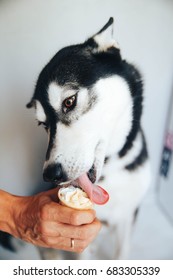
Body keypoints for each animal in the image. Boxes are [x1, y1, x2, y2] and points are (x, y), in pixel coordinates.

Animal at [5, 18, 150, 260]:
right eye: (43, 124)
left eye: (69, 102)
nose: (50, 175)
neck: (114, 166)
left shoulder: (128, 216)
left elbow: (122, 252)